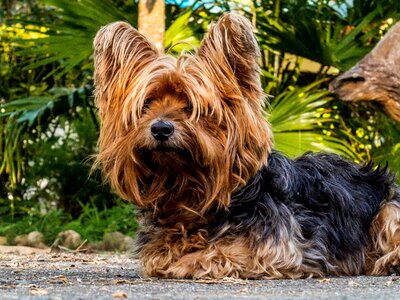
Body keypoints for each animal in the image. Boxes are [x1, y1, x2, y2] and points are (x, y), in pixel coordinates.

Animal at [92, 12, 400, 278]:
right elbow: (158, 258)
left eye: (191, 106)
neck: (190, 189)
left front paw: (190, 261)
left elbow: (226, 251)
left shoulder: (277, 248)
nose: (160, 128)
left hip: (388, 207)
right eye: (147, 105)